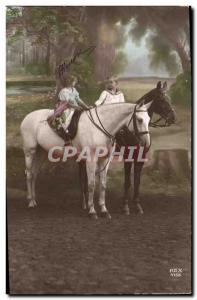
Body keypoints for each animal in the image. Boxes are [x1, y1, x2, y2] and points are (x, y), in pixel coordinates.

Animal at [20, 102, 151, 219]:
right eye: (140, 119)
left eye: (149, 119)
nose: (146, 143)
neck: (100, 127)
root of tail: (26, 118)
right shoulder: (91, 159)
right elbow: (91, 184)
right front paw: (92, 211)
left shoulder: (104, 160)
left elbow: (103, 185)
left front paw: (104, 210)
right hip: (30, 152)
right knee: (29, 175)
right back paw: (30, 202)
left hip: (41, 153)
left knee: (34, 175)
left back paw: (34, 200)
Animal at [78, 81, 175, 214]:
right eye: (161, 99)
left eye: (169, 97)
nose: (173, 118)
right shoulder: (128, 158)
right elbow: (127, 182)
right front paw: (125, 206)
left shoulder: (140, 158)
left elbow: (137, 181)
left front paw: (137, 205)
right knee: (83, 177)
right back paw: (84, 204)